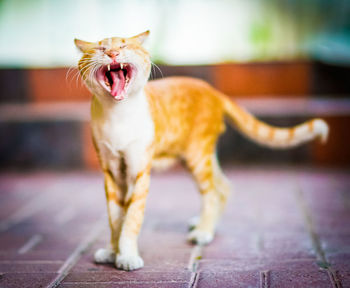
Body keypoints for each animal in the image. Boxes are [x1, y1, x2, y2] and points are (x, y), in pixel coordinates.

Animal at [74, 30, 328, 272]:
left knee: (212, 193)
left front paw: (126, 256)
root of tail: (213, 91)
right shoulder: (112, 173)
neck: (117, 114)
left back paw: (204, 232)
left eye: (124, 45)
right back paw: (206, 225)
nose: (113, 54)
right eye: (101, 48)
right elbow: (115, 219)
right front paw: (112, 251)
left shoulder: (139, 171)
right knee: (224, 186)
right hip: (196, 157)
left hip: (197, 156)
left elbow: (132, 218)